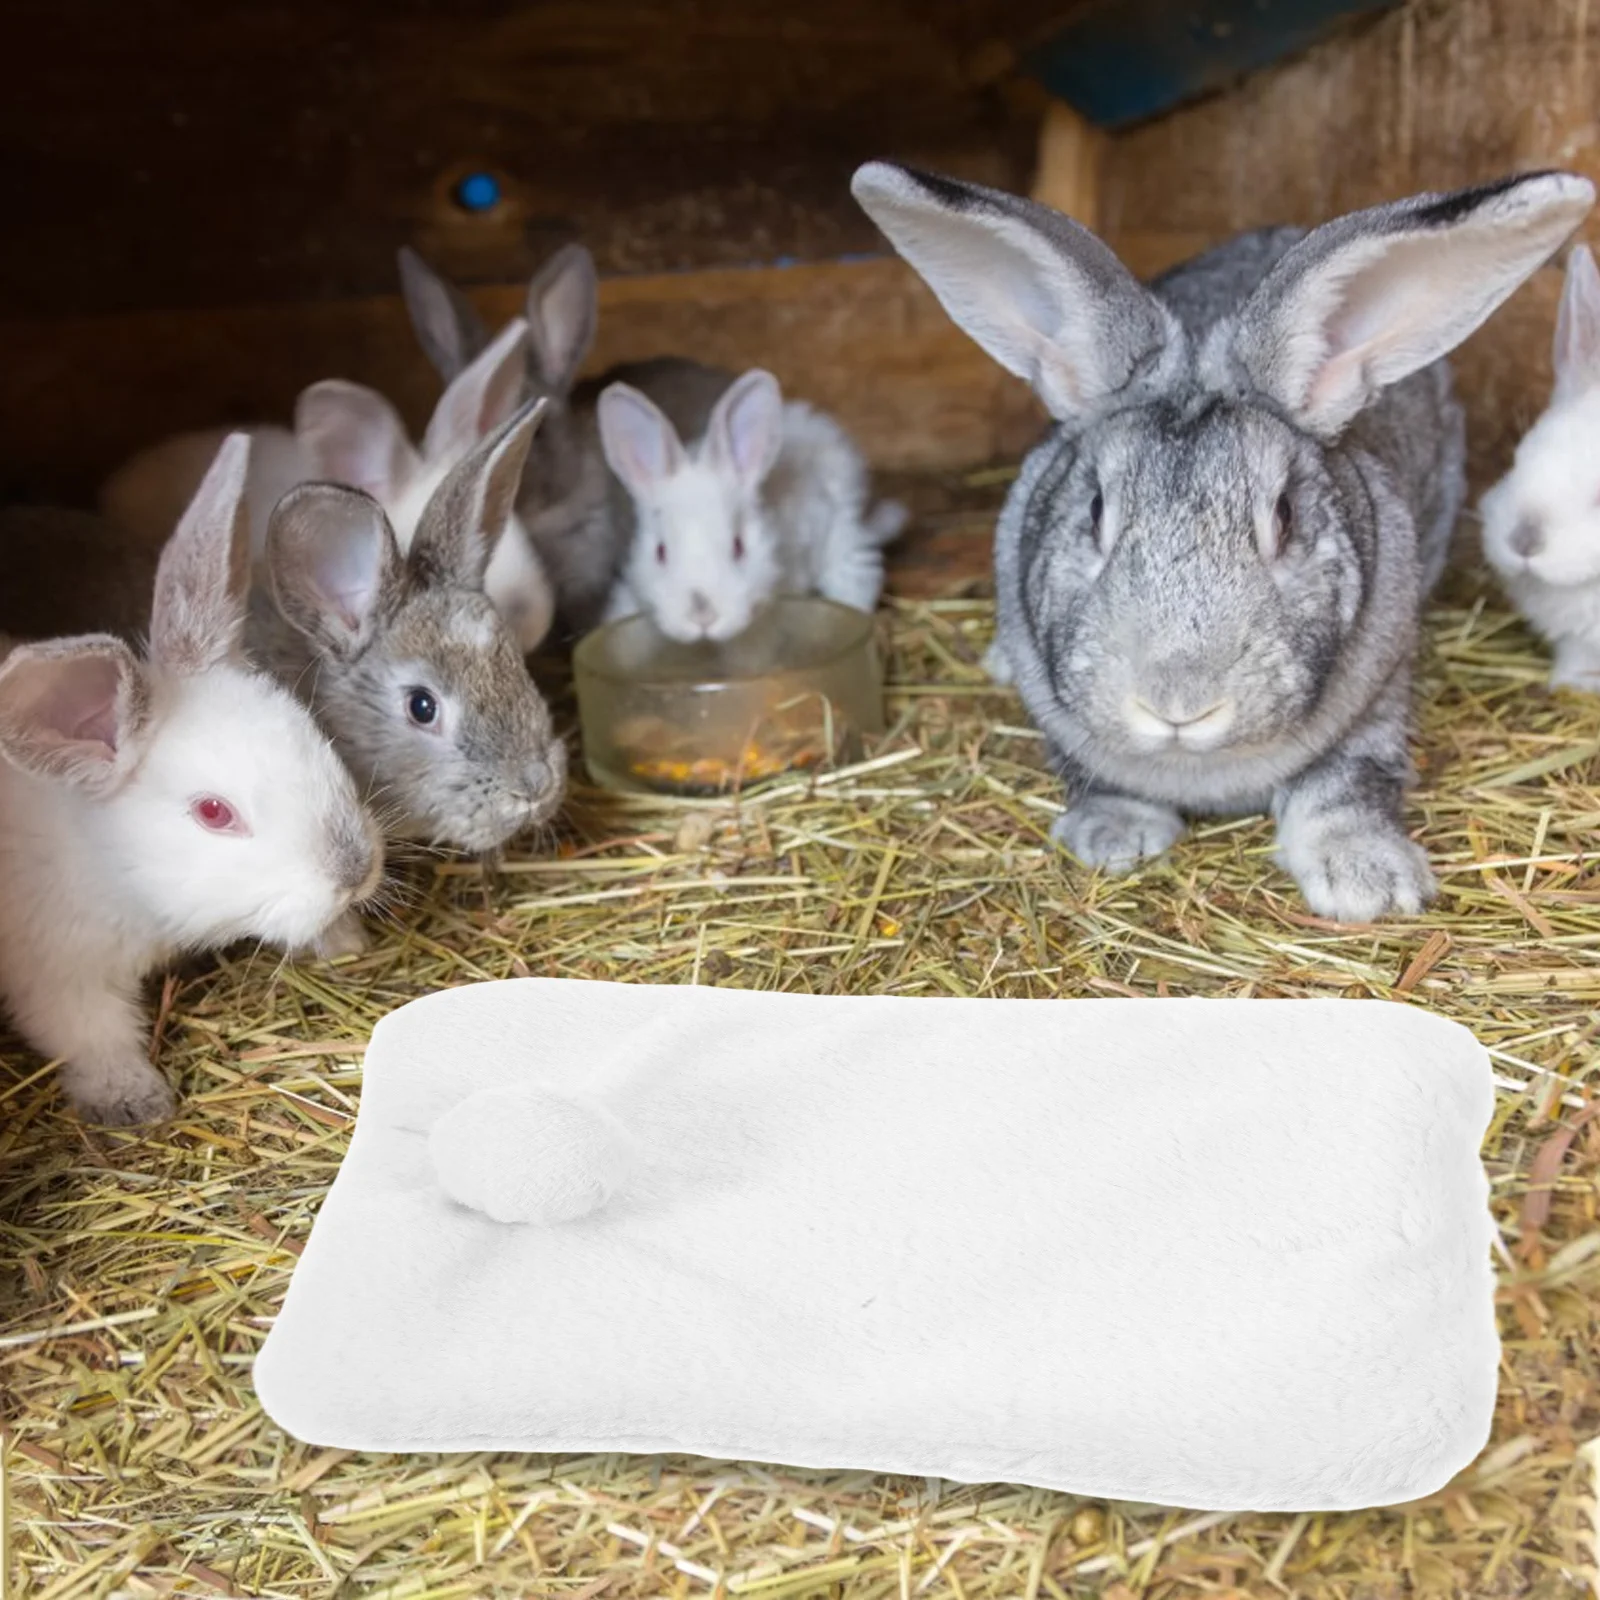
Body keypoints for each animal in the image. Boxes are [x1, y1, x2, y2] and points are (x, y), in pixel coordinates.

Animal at [0, 435, 385, 1125]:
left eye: (308, 727)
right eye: (212, 812)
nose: (354, 869)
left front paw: (344, 938)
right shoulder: (56, 975)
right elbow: (90, 1034)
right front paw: (134, 1102)